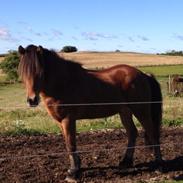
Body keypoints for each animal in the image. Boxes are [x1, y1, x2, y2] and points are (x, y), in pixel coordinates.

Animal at [17, 45, 162, 182]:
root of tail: (143, 74)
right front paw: (76, 167)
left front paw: (73, 173)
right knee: (132, 132)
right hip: (124, 111)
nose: (32, 100)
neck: (63, 83)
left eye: (40, 72)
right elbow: (68, 144)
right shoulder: (60, 121)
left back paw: (158, 164)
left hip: (141, 111)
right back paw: (125, 162)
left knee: (152, 133)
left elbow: (71, 144)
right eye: (23, 72)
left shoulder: (68, 120)